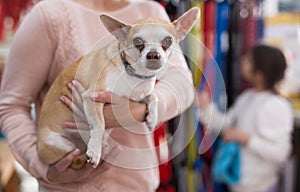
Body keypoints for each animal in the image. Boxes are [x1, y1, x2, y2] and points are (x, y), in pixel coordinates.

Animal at [37, 7, 199, 168]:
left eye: (168, 40)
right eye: (137, 41)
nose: (153, 54)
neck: (133, 74)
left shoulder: (139, 96)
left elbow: (153, 97)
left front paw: (152, 118)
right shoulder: (91, 96)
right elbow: (99, 124)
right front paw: (94, 150)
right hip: (56, 144)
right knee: (74, 159)